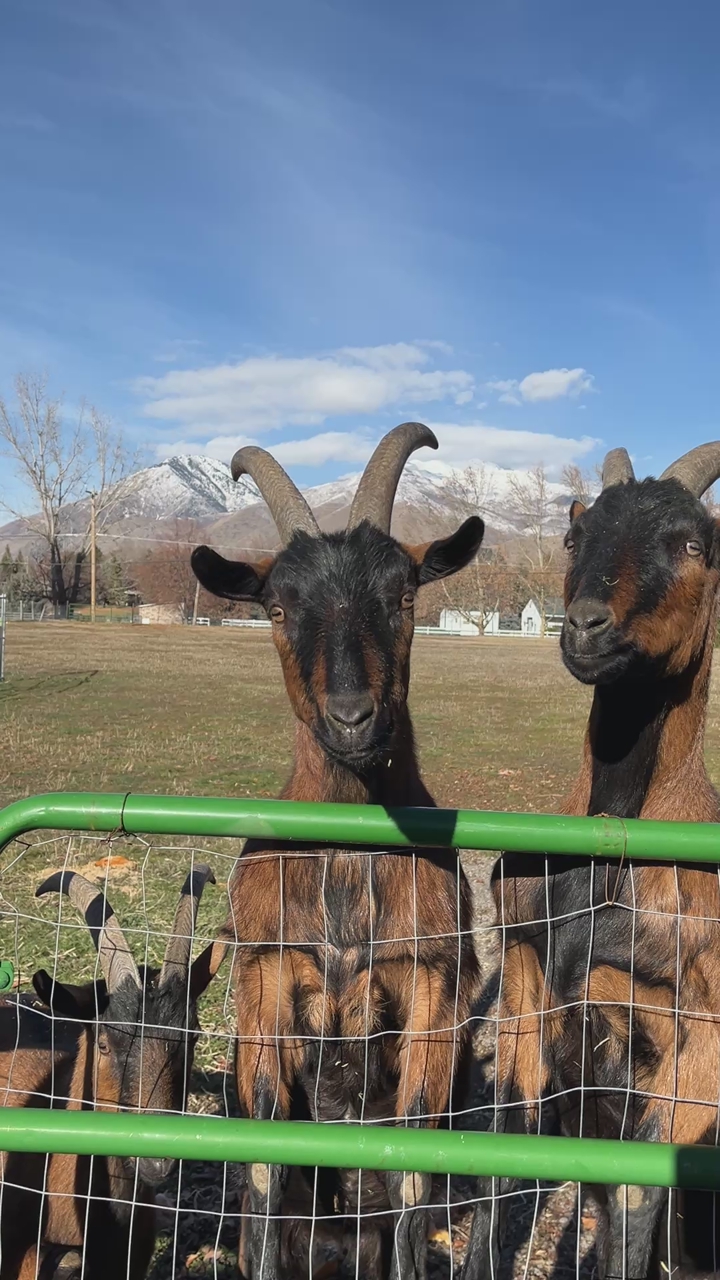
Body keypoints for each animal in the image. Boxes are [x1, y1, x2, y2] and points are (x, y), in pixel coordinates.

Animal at [191, 421, 485, 1280]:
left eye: (405, 594)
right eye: (277, 605)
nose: (354, 717)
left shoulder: (434, 988)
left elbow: (415, 1159)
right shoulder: (262, 983)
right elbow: (265, 1154)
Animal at [462, 442, 720, 1280]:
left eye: (694, 543)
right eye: (576, 537)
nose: (584, 626)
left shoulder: (700, 1042)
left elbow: (639, 1193)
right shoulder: (528, 983)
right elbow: (507, 1142)